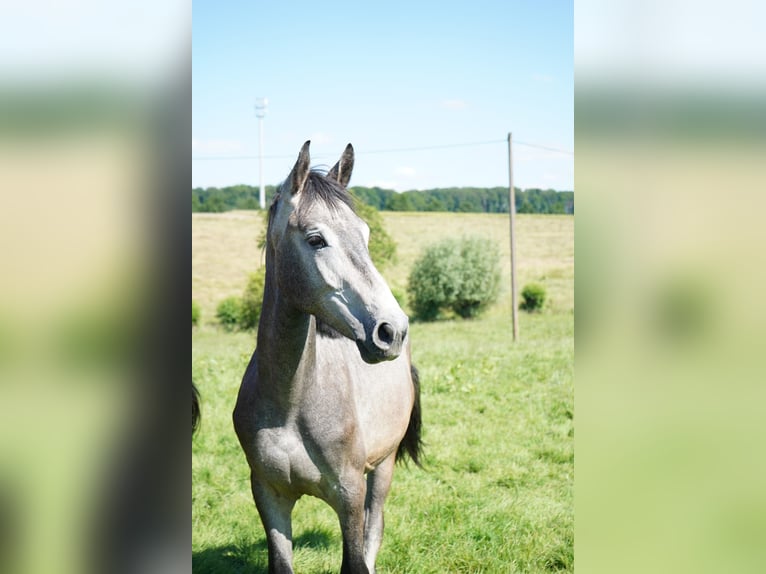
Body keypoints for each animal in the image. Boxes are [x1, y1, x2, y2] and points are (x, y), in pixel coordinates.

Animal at [236, 141, 426, 574]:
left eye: (366, 235)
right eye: (316, 239)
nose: (391, 330)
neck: (290, 403)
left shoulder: (349, 495)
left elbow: (357, 558)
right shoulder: (268, 495)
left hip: (383, 467)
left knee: (375, 527)